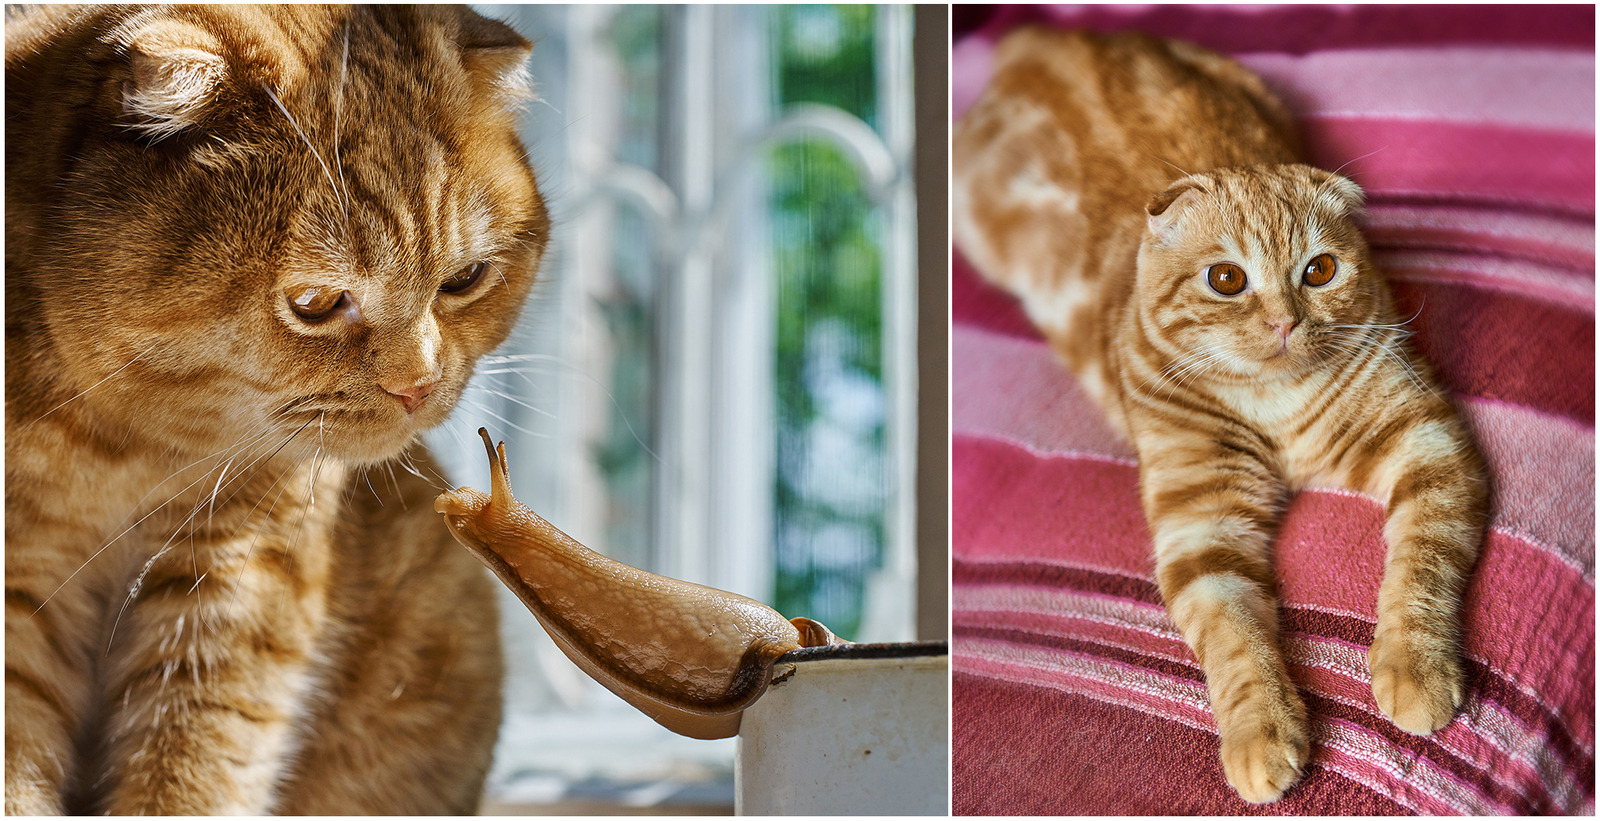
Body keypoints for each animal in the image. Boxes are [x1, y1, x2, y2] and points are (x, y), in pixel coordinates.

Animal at [4, 6, 550, 812]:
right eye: (315, 302)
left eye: (465, 278)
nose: (417, 386)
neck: (121, 445)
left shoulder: (238, 577)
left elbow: (194, 766)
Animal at [947, 28, 1484, 803]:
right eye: (1227, 279)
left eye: (1319, 271)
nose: (1286, 321)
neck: (1277, 403)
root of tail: (1054, 34)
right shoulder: (1201, 527)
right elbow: (1236, 638)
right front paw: (1263, 732)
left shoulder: (1425, 439)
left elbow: (1421, 567)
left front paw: (1414, 669)